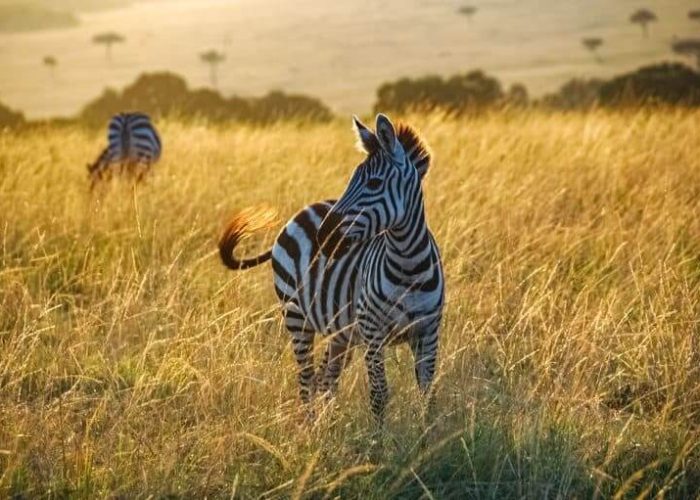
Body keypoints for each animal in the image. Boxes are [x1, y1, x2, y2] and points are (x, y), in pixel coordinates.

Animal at [219, 114, 444, 423]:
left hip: (341, 332)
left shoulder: (428, 332)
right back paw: (310, 428)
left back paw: (327, 424)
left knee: (325, 379)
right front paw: (378, 437)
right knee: (306, 379)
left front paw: (427, 433)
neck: (408, 266)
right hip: (296, 317)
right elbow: (379, 394)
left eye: (374, 183)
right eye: (351, 180)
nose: (323, 236)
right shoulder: (372, 332)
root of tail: (299, 213)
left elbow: (427, 393)